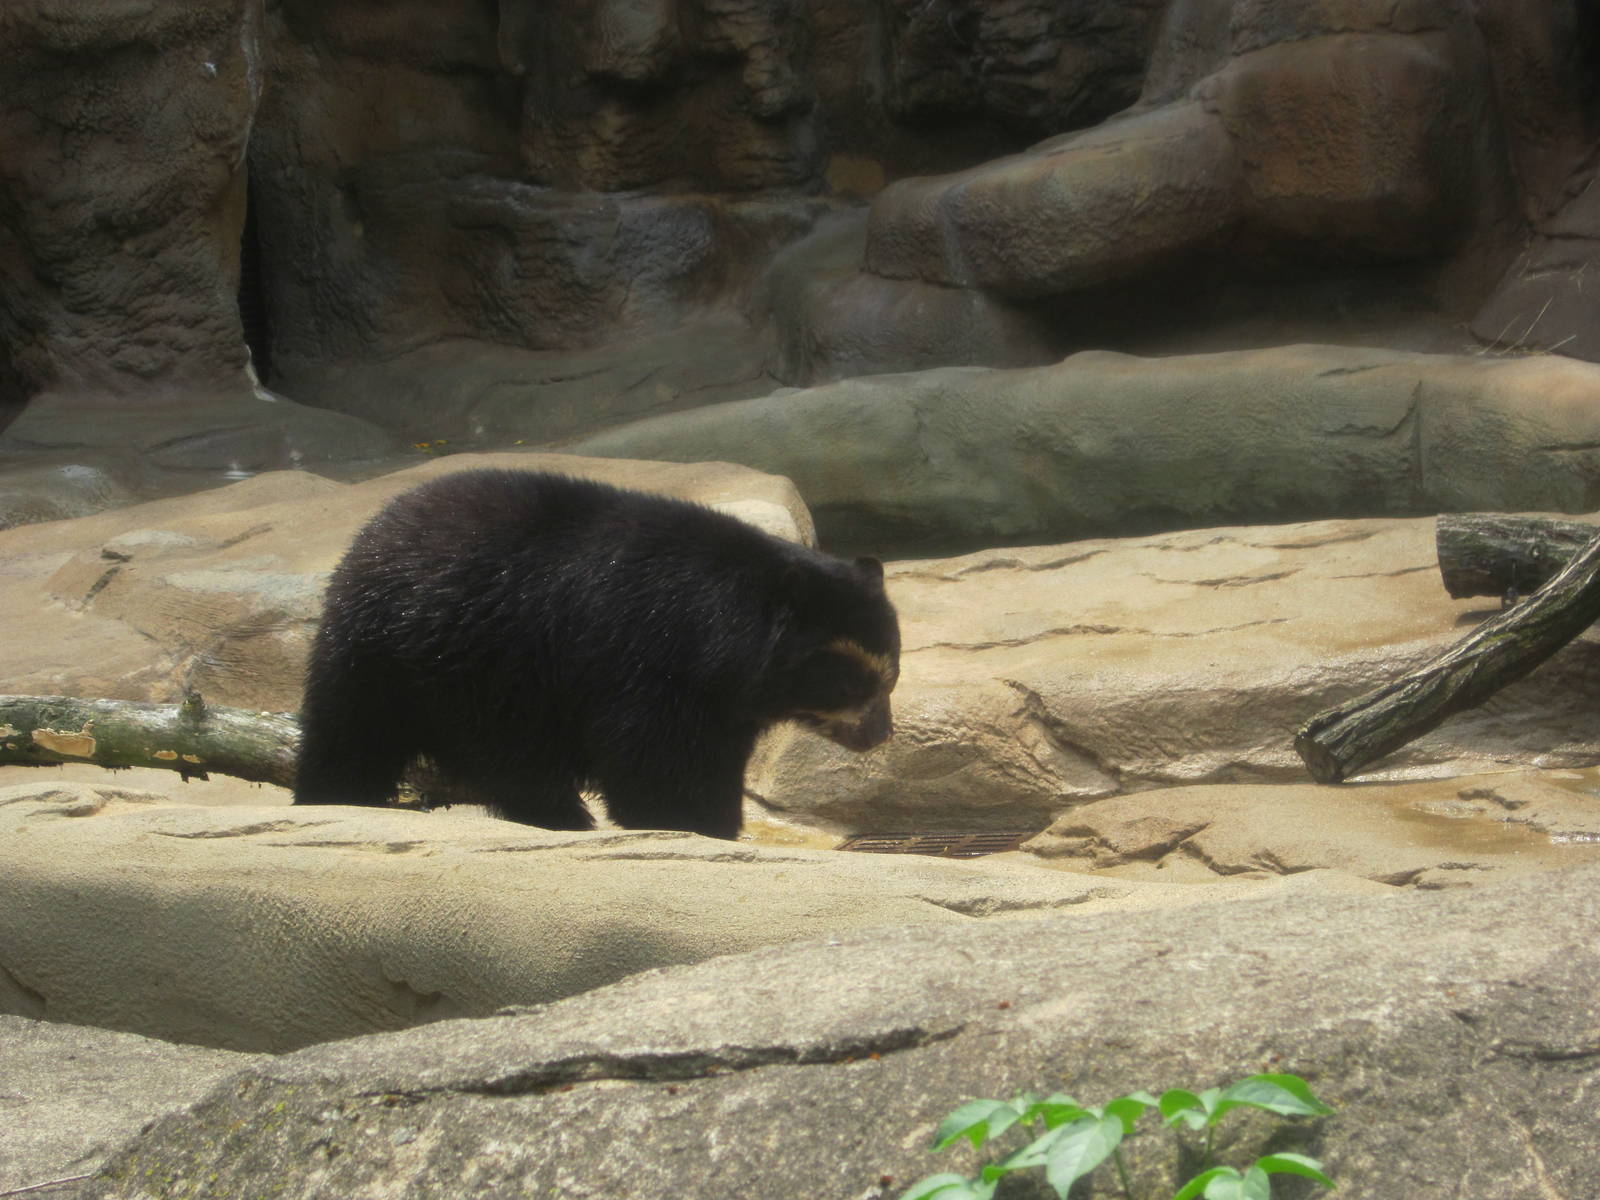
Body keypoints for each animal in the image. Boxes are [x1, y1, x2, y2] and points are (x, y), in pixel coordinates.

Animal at [293, 468, 900, 840]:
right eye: (850, 683)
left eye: (890, 675)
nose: (879, 736)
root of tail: (372, 532)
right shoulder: (649, 654)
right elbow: (660, 753)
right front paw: (692, 822)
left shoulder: (725, 698)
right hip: (417, 655)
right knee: (358, 732)